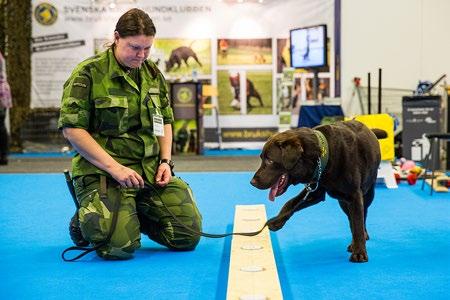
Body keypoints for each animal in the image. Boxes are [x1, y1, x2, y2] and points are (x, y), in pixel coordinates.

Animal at [250, 119, 386, 262]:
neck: (325, 155)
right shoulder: (315, 190)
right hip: (343, 202)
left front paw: (359, 252)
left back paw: (360, 239)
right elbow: (290, 203)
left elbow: (358, 223)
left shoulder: (354, 195)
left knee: (362, 215)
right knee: (351, 219)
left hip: (367, 193)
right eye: (262, 158)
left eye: (270, 160)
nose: (252, 182)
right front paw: (277, 221)